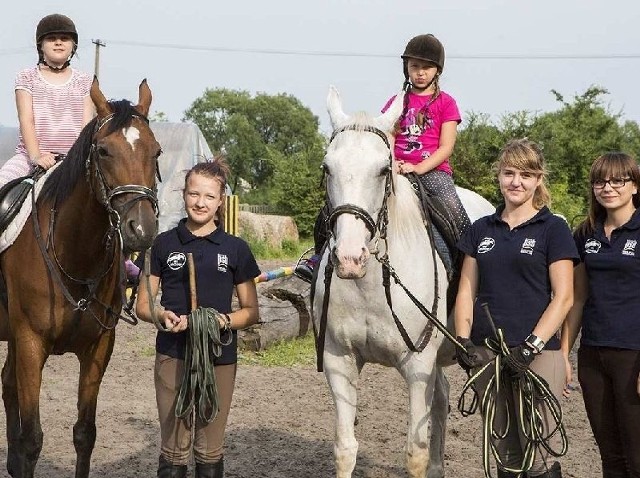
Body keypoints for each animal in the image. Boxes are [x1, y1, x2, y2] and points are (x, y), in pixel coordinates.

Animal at [0, 79, 160, 478]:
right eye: (103, 151)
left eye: (157, 152)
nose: (141, 230)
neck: (72, 251)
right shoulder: (31, 343)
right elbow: (32, 438)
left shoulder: (98, 349)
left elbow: (85, 433)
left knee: (7, 384)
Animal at [312, 87, 492, 478]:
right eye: (327, 168)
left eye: (383, 169)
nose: (350, 258)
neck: (370, 287)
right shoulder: (338, 360)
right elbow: (345, 449)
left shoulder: (417, 367)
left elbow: (415, 453)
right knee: (442, 398)